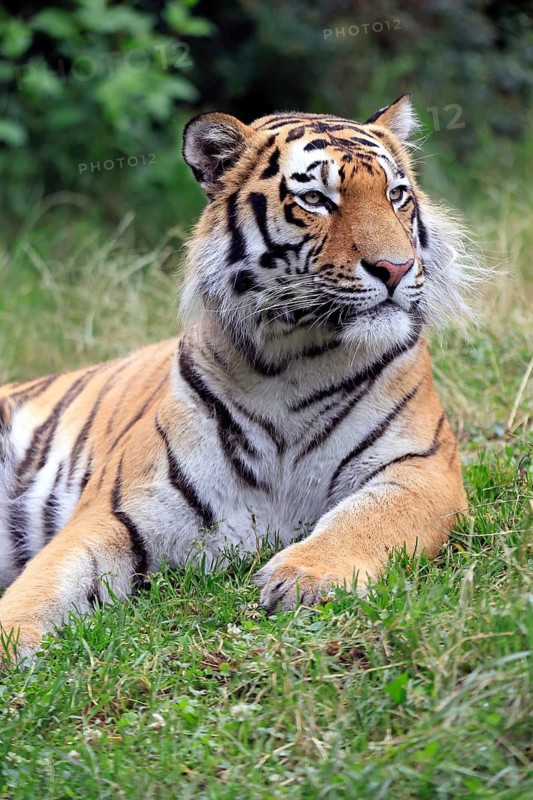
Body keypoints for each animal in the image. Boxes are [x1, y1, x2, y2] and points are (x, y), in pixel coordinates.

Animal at [0, 95, 475, 664]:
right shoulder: (117, 511)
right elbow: (43, 585)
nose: (397, 268)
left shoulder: (424, 468)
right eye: (316, 199)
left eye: (396, 195)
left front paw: (303, 578)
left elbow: (367, 520)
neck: (296, 361)